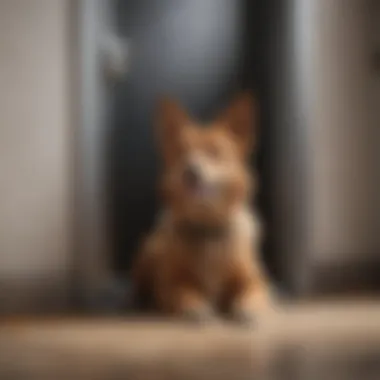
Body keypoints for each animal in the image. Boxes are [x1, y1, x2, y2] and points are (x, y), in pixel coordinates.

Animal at [131, 92, 270, 324]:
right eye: (181, 152)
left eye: (214, 152)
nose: (190, 171)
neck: (208, 227)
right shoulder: (171, 282)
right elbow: (183, 291)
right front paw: (195, 306)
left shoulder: (254, 279)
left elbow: (253, 291)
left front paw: (247, 308)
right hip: (151, 249)